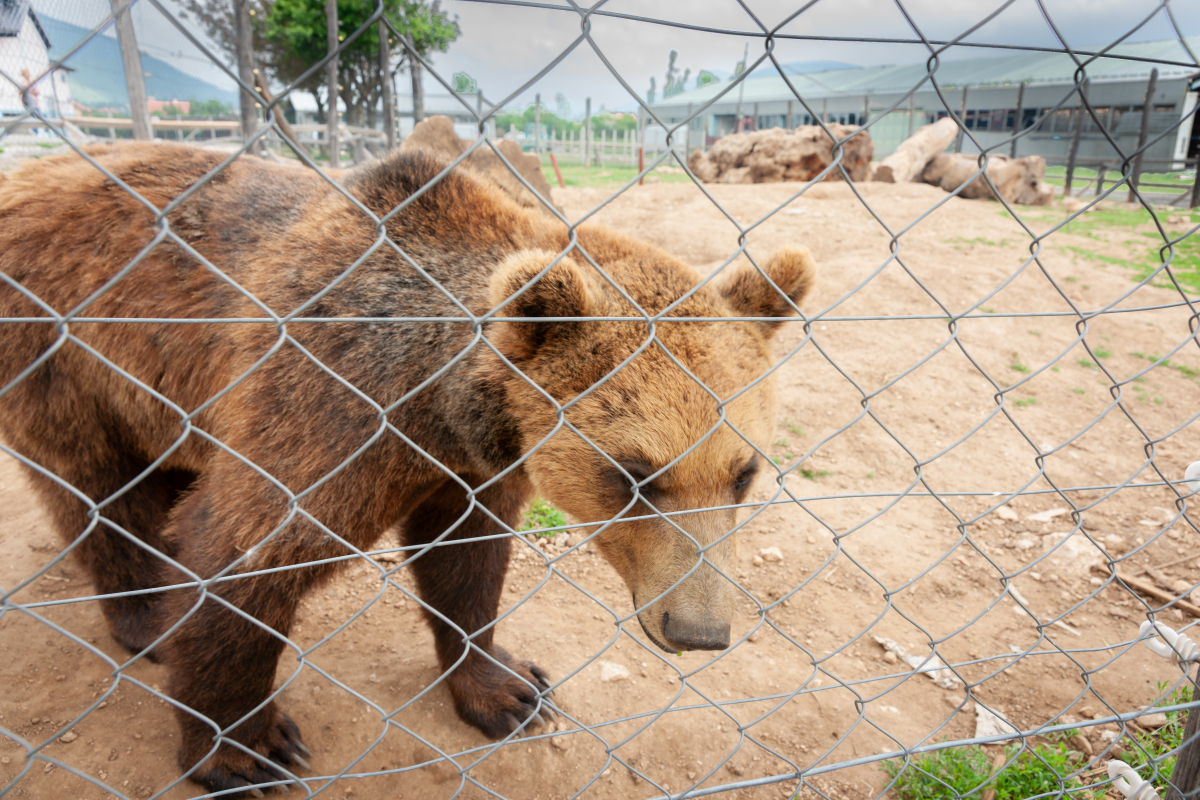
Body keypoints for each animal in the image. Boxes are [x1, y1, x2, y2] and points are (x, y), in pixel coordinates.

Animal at [0, 142, 816, 796]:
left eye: (743, 473)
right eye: (637, 474)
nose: (698, 629)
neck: (435, 398)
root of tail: (26, 172)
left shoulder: (466, 466)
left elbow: (466, 564)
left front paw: (511, 690)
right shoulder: (330, 403)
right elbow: (242, 550)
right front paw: (246, 749)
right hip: (70, 350)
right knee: (100, 490)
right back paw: (146, 618)